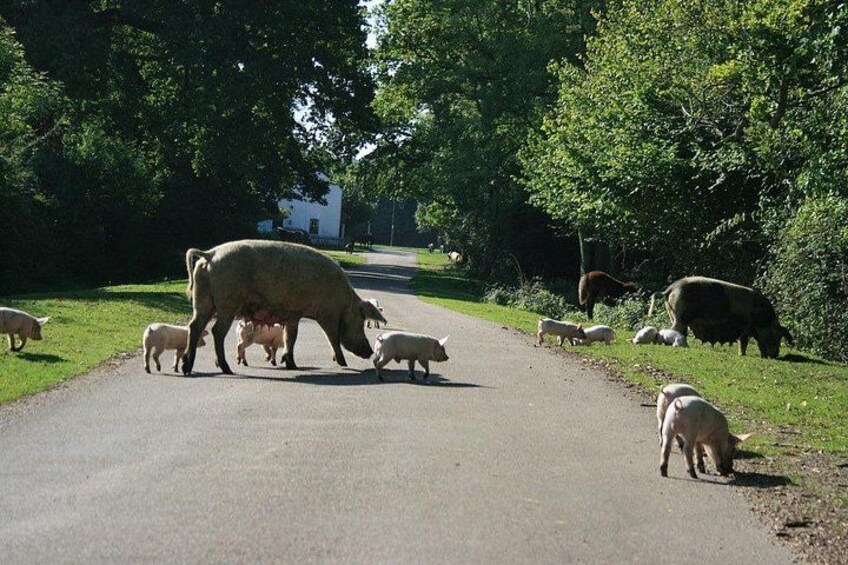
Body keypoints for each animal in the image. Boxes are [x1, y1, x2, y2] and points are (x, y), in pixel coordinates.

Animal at [182, 240, 387, 375]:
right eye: (361, 320)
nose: (369, 351)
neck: (344, 302)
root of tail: (210, 254)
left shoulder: (293, 314)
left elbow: (290, 337)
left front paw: (290, 364)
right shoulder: (327, 314)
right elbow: (332, 337)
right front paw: (342, 363)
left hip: (203, 300)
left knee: (195, 326)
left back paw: (187, 368)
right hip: (227, 302)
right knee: (217, 331)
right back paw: (226, 369)